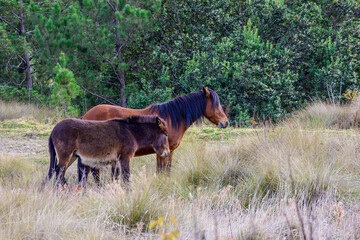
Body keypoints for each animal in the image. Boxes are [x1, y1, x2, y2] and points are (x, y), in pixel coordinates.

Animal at [80, 87, 229, 185]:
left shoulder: (170, 151)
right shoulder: (161, 152)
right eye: (216, 105)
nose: (225, 122)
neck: (170, 119)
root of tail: (86, 116)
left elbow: (167, 170)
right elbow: (161, 171)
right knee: (94, 172)